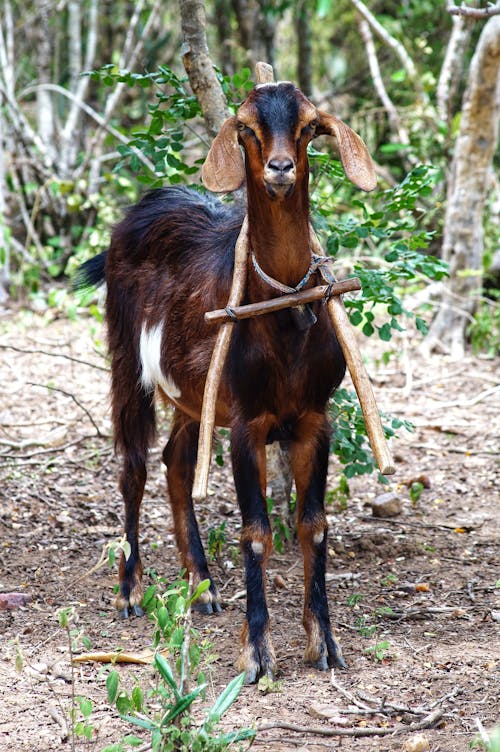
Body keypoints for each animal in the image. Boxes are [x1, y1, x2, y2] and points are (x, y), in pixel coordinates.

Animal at [79, 81, 376, 680]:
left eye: (308, 126)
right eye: (246, 128)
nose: (281, 168)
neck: (285, 311)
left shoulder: (315, 419)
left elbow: (314, 525)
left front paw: (324, 643)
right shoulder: (247, 422)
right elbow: (257, 531)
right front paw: (256, 653)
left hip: (194, 395)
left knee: (176, 461)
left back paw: (203, 584)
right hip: (126, 359)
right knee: (133, 466)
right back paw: (130, 590)